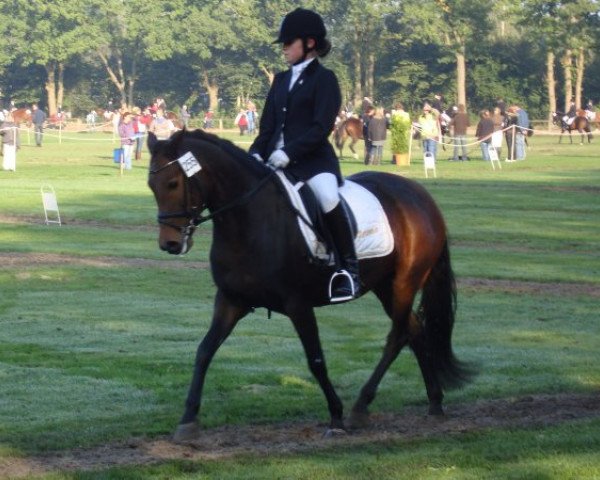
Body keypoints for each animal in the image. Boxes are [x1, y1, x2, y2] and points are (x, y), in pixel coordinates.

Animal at [146, 128, 474, 442]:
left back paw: (360, 407)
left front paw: (336, 417)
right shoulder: (231, 300)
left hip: (405, 282)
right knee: (414, 331)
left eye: (173, 183)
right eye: (151, 186)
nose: (169, 244)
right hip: (385, 286)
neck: (249, 219)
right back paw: (434, 402)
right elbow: (204, 351)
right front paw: (188, 420)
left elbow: (316, 360)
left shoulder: (298, 304)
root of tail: (420, 195)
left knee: (398, 335)